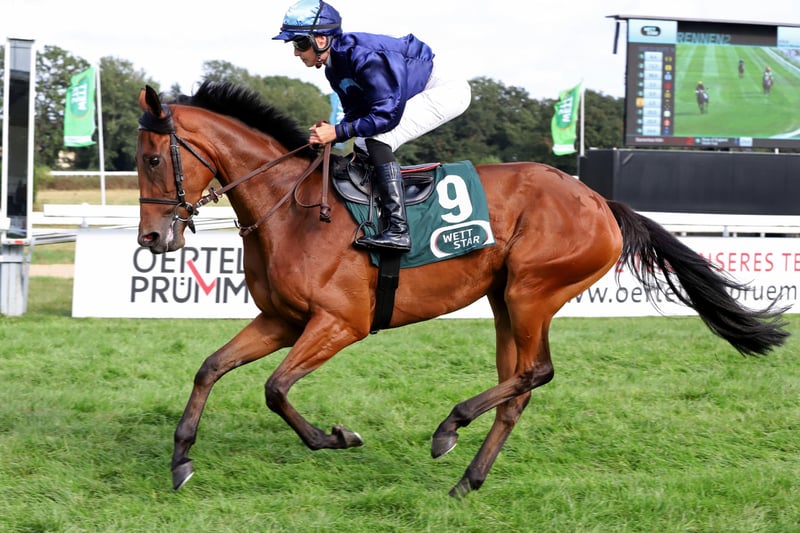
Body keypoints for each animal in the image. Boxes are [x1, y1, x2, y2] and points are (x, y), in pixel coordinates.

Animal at [136, 81, 789, 497]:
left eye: (152, 159)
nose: (152, 238)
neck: (292, 210)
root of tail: (599, 200)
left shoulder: (340, 323)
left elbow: (274, 389)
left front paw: (336, 437)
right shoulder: (282, 320)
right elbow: (210, 367)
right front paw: (181, 457)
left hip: (532, 290)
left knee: (537, 372)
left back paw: (449, 427)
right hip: (505, 301)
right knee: (518, 388)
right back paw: (467, 478)